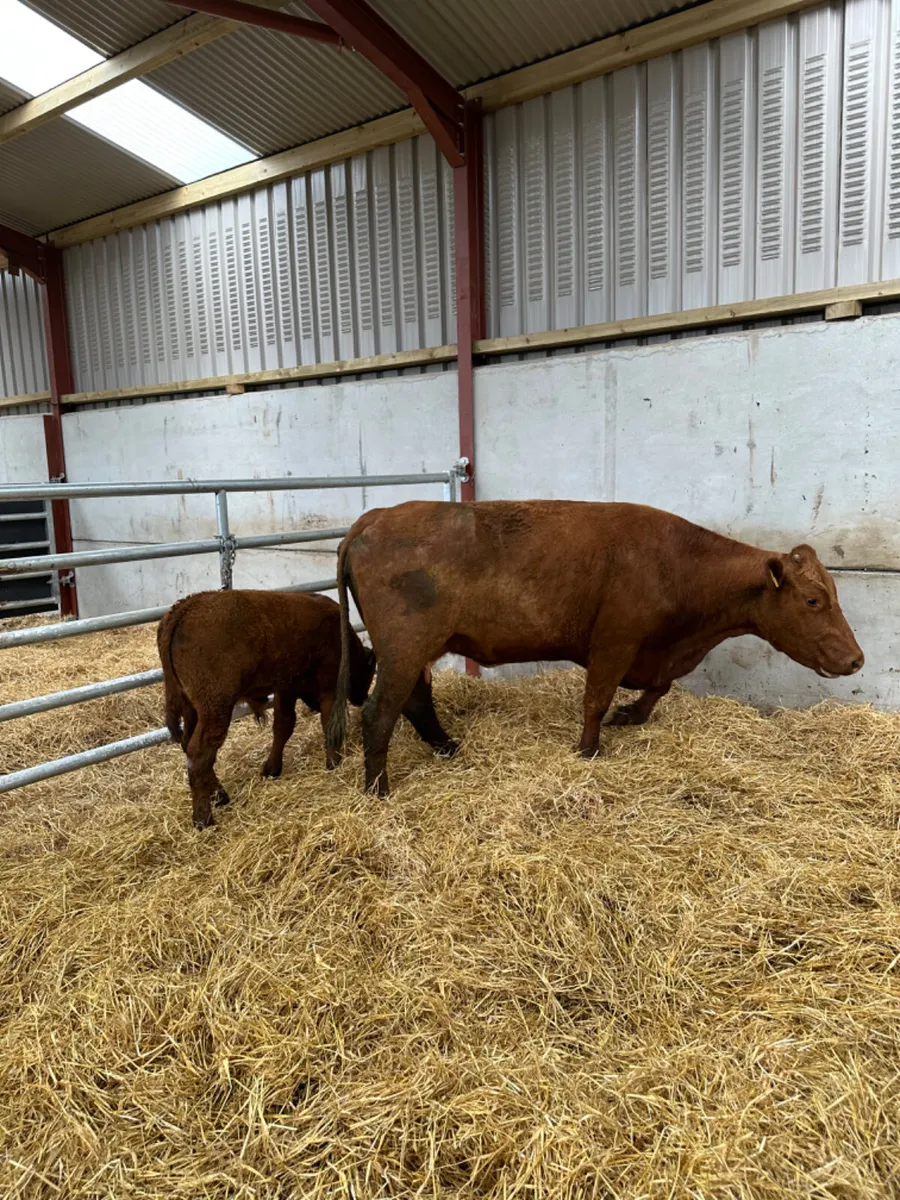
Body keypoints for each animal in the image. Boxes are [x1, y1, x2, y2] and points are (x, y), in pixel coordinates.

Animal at [158, 590, 375, 828]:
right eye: (368, 672)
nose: (363, 698)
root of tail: (184, 606)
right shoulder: (328, 686)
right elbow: (328, 723)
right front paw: (334, 762)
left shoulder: (286, 687)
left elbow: (283, 726)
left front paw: (272, 768)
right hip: (215, 709)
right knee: (200, 754)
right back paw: (204, 818)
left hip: (192, 710)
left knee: (189, 746)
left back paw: (220, 795)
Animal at [325, 500, 864, 796]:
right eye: (813, 600)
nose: (856, 659)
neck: (678, 564)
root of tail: (375, 517)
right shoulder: (615, 642)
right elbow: (596, 699)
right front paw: (589, 749)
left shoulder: (655, 654)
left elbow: (659, 688)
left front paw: (632, 715)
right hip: (405, 647)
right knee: (378, 711)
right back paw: (378, 789)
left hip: (417, 651)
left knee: (414, 701)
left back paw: (447, 746)